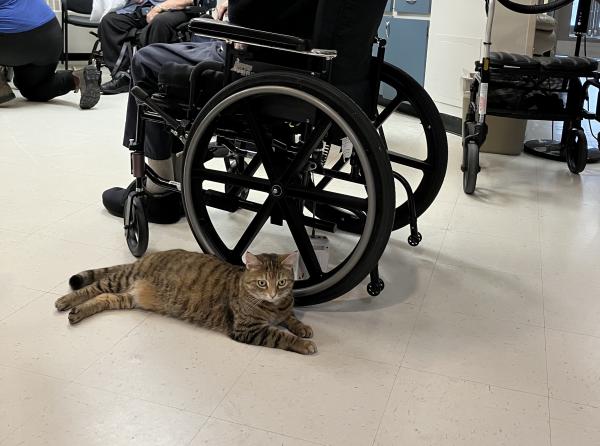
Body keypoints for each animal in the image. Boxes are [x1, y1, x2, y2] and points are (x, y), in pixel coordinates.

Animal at [55, 249, 316, 354]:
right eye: (262, 283)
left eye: (281, 282)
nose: (272, 293)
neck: (273, 306)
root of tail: (149, 255)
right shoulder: (249, 329)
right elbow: (281, 335)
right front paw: (303, 344)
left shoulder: (283, 309)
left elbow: (290, 317)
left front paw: (302, 327)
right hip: (122, 279)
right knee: (94, 287)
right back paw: (66, 301)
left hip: (127, 297)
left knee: (104, 297)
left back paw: (78, 312)